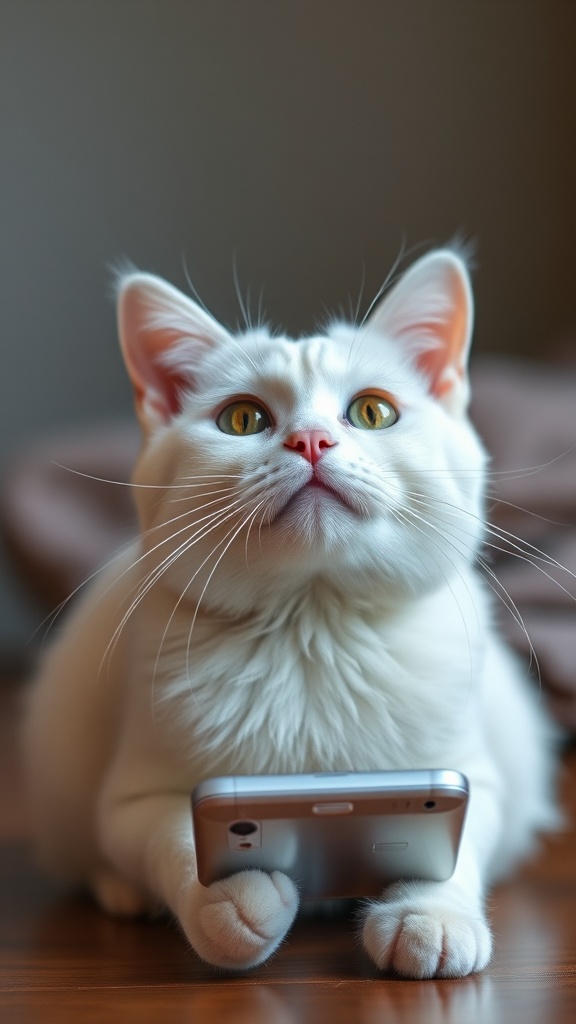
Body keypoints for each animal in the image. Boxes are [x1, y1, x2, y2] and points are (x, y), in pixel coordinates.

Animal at [23, 247, 557, 974]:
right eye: (243, 419)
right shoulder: (133, 799)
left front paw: (430, 915)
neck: (313, 627)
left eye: (373, 412)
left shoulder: (472, 774)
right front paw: (231, 902)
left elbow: (455, 841)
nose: (310, 441)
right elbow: (173, 835)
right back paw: (122, 893)